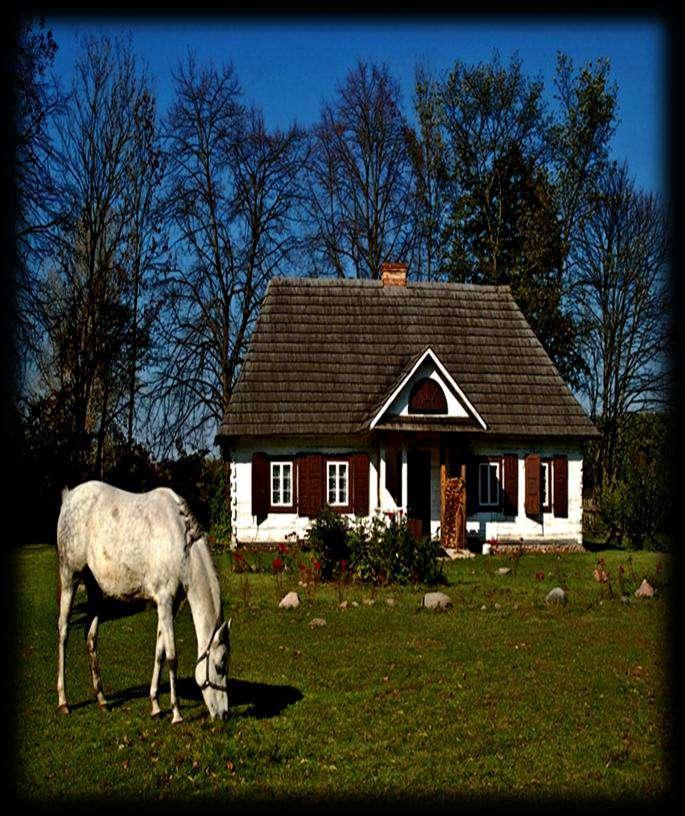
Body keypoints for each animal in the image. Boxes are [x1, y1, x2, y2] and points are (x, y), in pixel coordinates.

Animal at [55, 482, 230, 724]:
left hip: (94, 588)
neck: (179, 540)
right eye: (219, 665)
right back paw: (63, 702)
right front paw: (176, 713)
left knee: (90, 637)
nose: (224, 714)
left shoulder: (168, 606)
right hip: (69, 577)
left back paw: (102, 699)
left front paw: (155, 705)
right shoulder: (165, 601)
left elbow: (159, 652)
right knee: (63, 632)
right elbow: (172, 657)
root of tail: (69, 497)